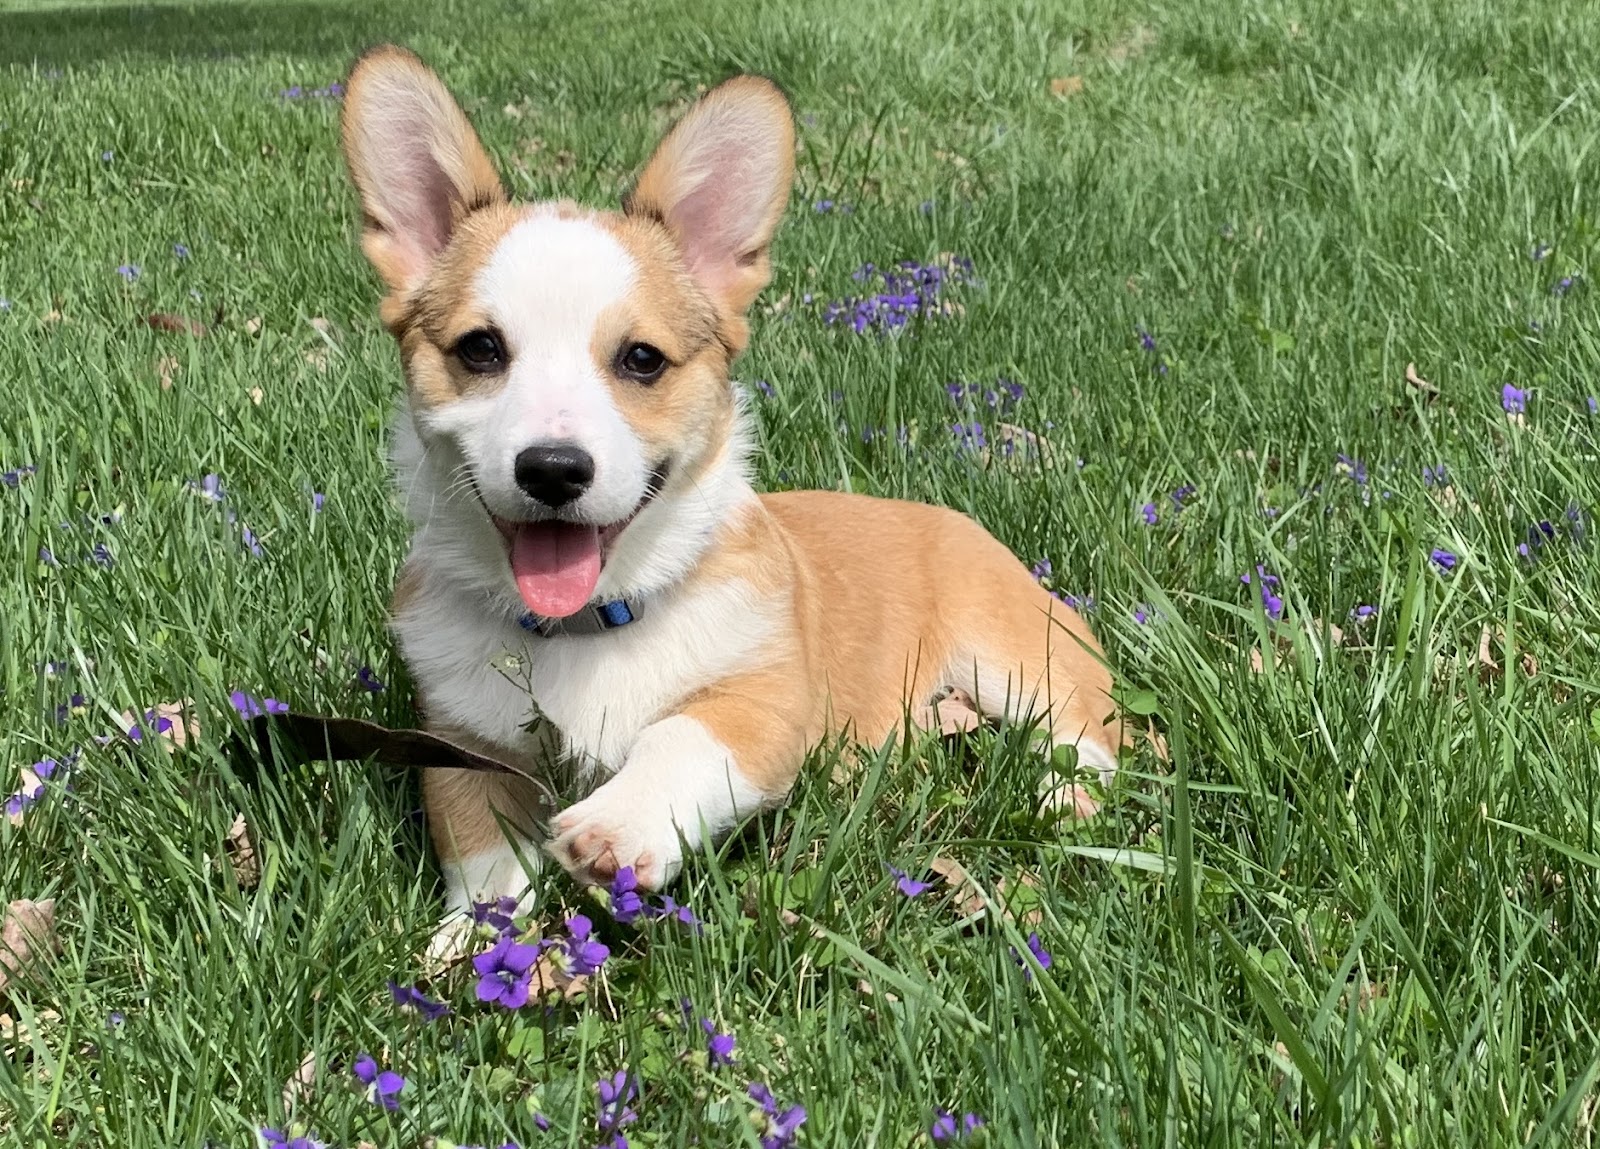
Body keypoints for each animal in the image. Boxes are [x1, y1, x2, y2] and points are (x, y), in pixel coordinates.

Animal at [340, 45, 1126, 915]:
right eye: (480, 349)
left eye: (641, 359)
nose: (552, 469)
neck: (587, 627)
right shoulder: (462, 744)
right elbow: (484, 866)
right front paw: (468, 937)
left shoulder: (765, 705)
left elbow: (679, 735)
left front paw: (620, 821)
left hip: (1015, 657)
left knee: (1088, 734)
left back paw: (1061, 796)